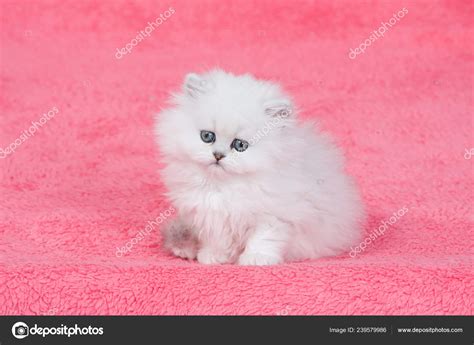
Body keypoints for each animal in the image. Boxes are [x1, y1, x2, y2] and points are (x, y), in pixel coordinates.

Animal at [154, 69, 364, 264]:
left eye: (240, 145)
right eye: (207, 136)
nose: (218, 155)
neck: (223, 187)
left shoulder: (274, 217)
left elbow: (263, 239)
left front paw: (256, 259)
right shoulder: (211, 217)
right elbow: (217, 241)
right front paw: (213, 256)